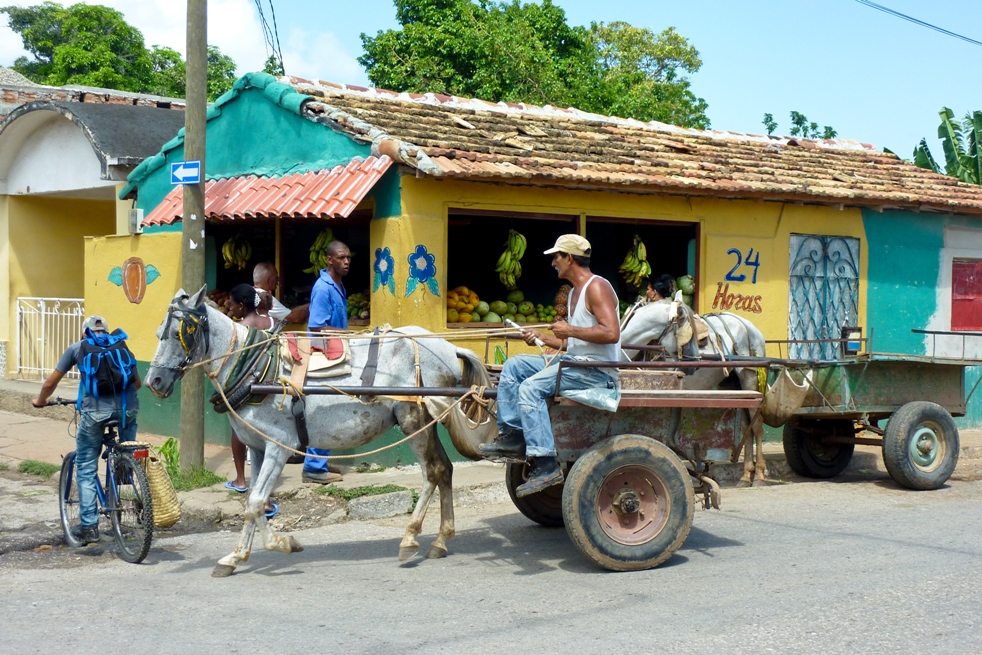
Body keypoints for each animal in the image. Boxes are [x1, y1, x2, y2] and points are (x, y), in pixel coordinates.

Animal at [144, 290, 492, 576]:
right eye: (158, 333)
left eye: (181, 333)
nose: (153, 383)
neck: (255, 369)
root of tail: (448, 347)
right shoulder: (257, 448)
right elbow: (251, 505)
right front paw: (236, 556)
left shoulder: (279, 447)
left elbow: (256, 503)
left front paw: (284, 544)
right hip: (428, 421)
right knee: (445, 469)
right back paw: (441, 540)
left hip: (414, 420)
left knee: (432, 471)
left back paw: (410, 537)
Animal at [624, 302, 768, 486]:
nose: (693, 364)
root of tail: (749, 325)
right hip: (733, 384)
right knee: (746, 425)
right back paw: (745, 475)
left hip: (749, 376)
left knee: (757, 425)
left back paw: (759, 476)